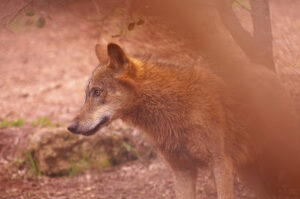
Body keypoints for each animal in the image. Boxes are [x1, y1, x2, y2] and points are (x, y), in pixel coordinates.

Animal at [68, 42, 300, 198]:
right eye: (87, 94)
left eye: (97, 92)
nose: (71, 127)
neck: (173, 108)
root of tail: (271, 73)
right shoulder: (182, 171)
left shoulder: (220, 164)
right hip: (250, 172)